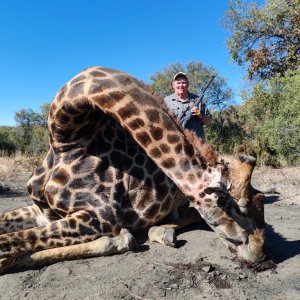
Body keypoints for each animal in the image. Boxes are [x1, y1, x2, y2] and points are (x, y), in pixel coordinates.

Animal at [0, 67, 264, 274]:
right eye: (228, 204)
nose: (259, 256)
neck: (66, 140)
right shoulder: (43, 211)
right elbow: (9, 236)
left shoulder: (100, 218)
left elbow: (9, 242)